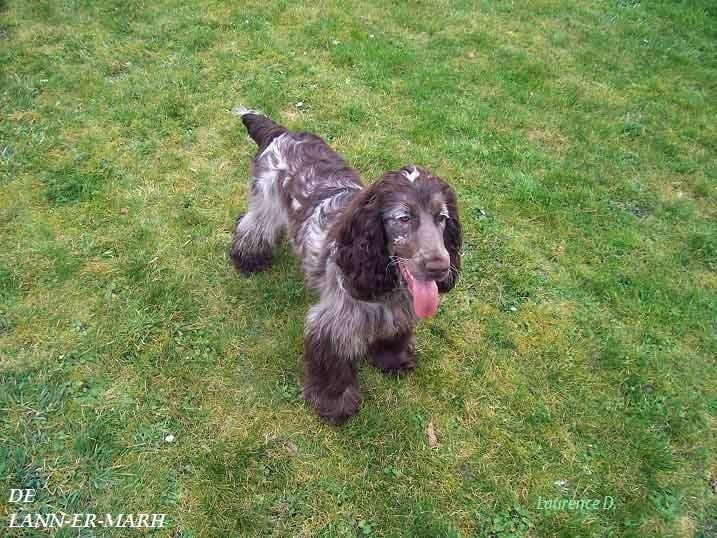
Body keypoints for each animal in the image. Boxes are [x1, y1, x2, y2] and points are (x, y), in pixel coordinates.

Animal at [231, 108, 464, 422]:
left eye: (442, 218)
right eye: (403, 218)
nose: (440, 268)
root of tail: (281, 133)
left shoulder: (398, 313)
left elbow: (395, 336)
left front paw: (394, 361)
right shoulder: (334, 324)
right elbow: (333, 367)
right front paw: (336, 405)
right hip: (265, 203)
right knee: (251, 226)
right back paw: (247, 260)